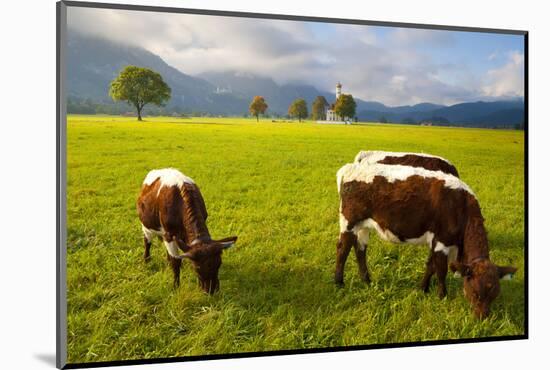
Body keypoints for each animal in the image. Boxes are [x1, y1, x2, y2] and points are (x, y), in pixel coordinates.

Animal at [336, 163, 516, 320]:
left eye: (495, 295)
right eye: (476, 293)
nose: (483, 318)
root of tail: (350, 167)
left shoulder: (436, 241)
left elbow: (430, 266)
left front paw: (422, 289)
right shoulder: (442, 241)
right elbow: (441, 270)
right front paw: (442, 296)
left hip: (363, 226)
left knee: (360, 249)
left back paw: (366, 280)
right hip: (349, 221)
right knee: (343, 249)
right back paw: (339, 283)